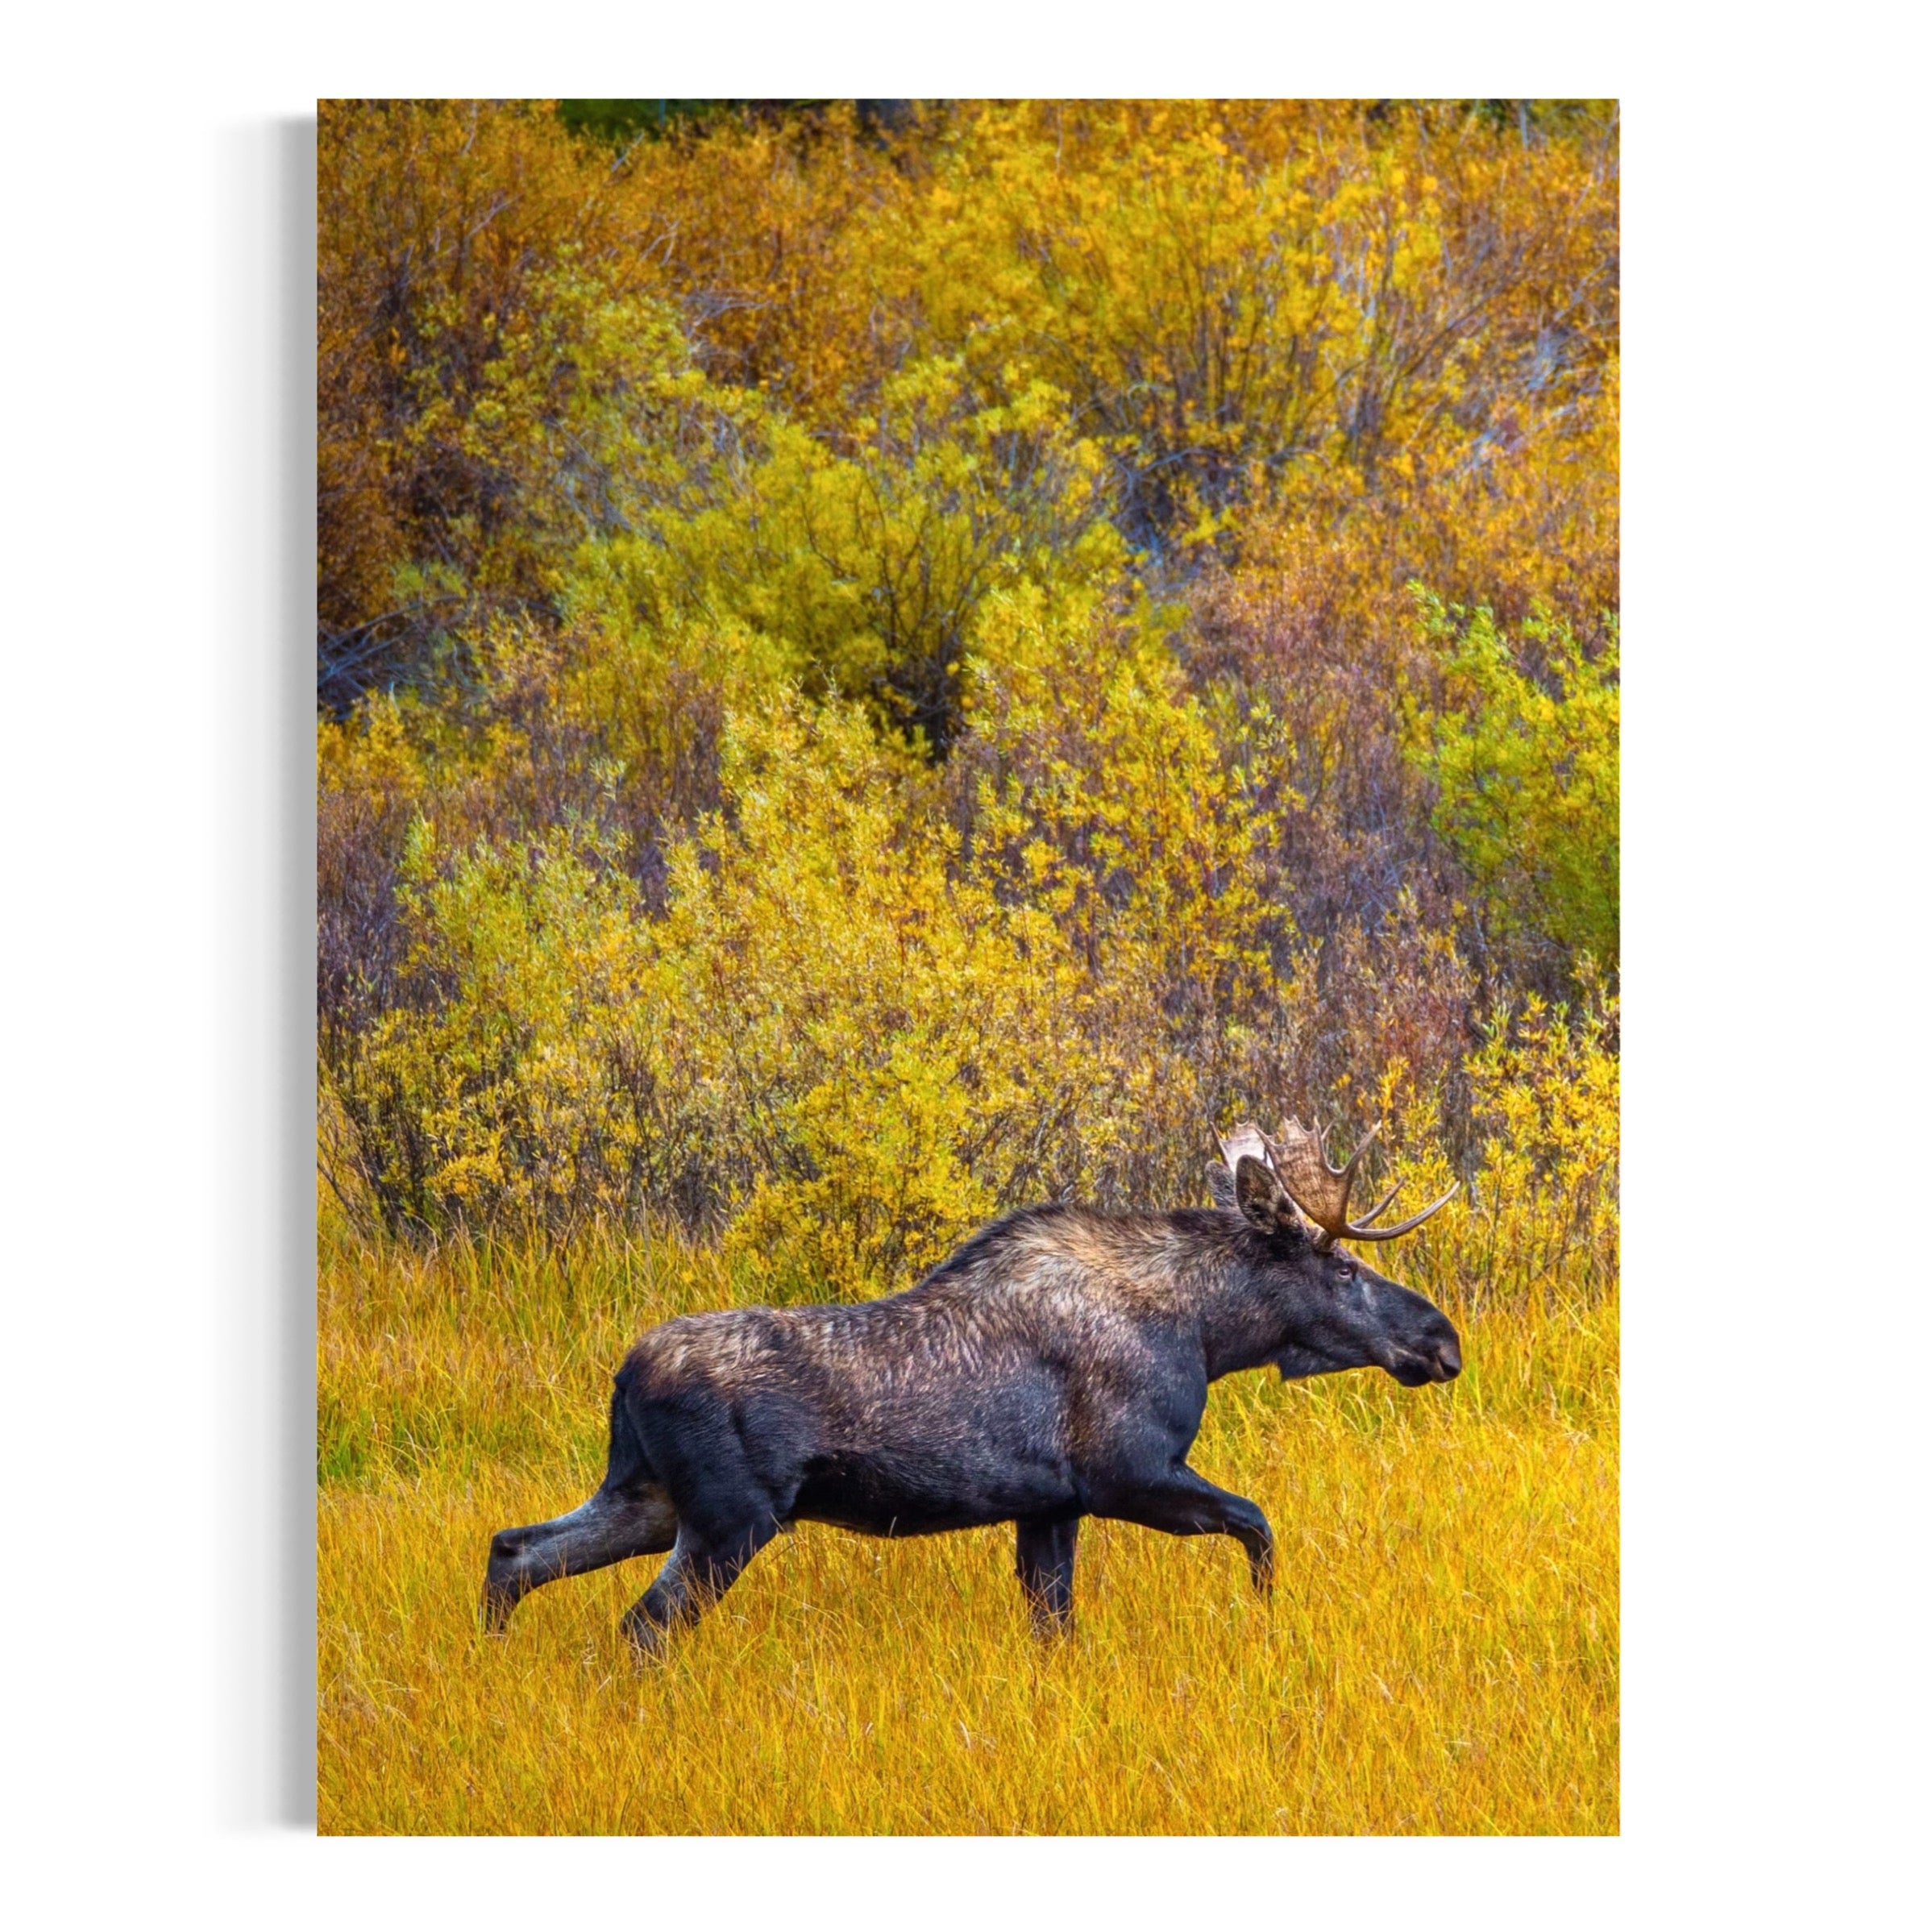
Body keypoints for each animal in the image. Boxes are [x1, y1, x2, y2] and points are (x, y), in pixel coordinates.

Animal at [481, 1117, 1462, 1655]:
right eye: (1341, 1267)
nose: (1442, 1340)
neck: (1207, 1331)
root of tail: (623, 1374)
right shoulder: (1127, 1474)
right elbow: (1258, 1527)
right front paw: (1262, 1622)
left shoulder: (1051, 1505)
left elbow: (1054, 1627)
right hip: (728, 1519)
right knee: (641, 1626)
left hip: (647, 1497)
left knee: (514, 1551)